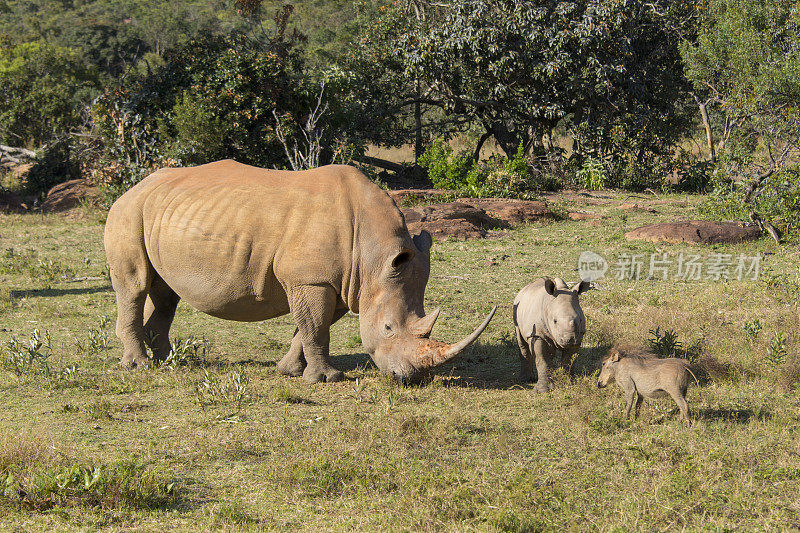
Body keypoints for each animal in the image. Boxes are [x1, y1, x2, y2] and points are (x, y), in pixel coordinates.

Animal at [104, 159, 494, 382]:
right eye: (387, 328)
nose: (409, 378)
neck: (373, 256)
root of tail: (133, 187)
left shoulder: (342, 282)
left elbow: (311, 326)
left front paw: (290, 370)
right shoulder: (313, 279)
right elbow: (316, 327)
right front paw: (326, 379)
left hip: (160, 213)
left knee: (165, 295)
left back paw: (168, 360)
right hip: (127, 213)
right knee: (134, 286)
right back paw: (140, 367)